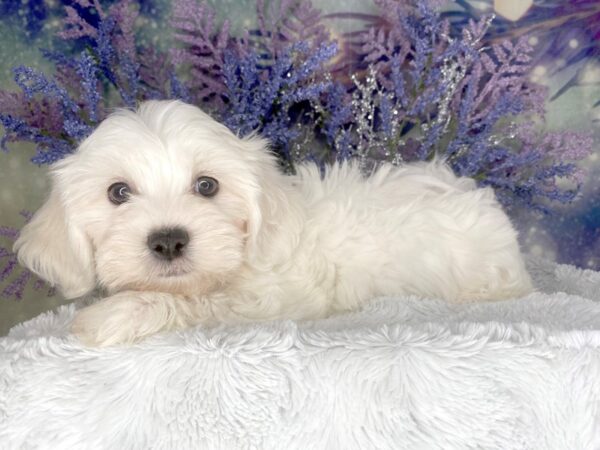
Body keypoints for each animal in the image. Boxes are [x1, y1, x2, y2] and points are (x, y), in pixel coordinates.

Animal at [14, 100, 532, 346]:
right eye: (117, 193)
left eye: (207, 186)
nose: (168, 241)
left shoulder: (274, 299)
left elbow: (199, 304)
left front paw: (114, 315)